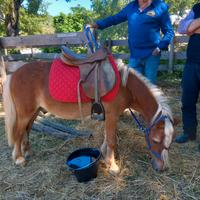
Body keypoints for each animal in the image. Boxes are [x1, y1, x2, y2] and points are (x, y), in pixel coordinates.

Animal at [2, 58, 176, 175]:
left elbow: (107, 138)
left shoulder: (109, 116)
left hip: (34, 111)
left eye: (170, 143)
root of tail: (14, 73)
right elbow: (112, 140)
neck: (125, 87)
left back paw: (27, 152)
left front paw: (105, 156)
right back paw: (19, 158)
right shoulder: (112, 115)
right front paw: (113, 167)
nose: (162, 168)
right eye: (155, 140)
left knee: (27, 130)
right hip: (24, 113)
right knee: (18, 132)